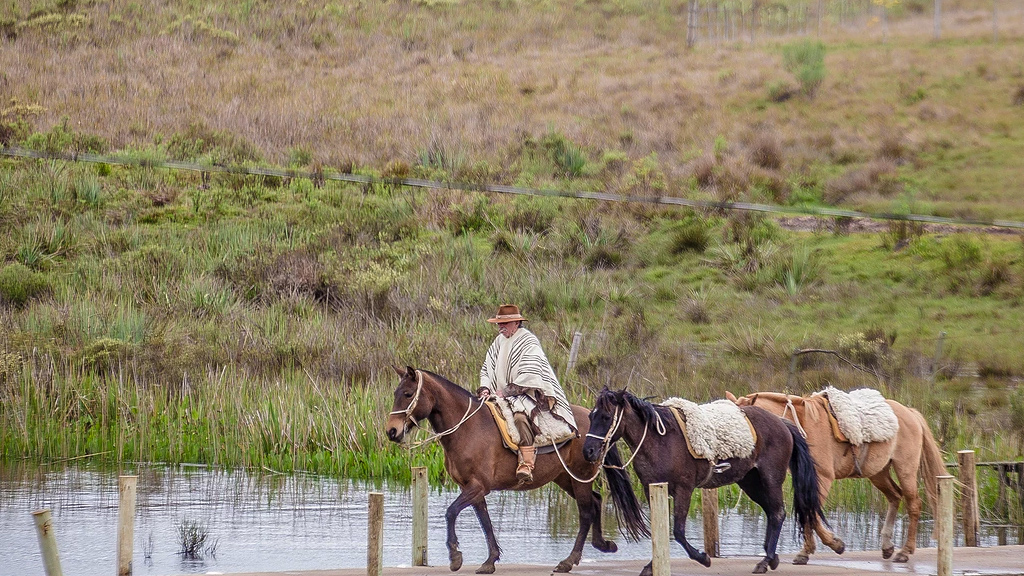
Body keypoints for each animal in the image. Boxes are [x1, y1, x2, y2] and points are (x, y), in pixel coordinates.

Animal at [385, 366, 649, 574]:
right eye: (395, 393)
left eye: (408, 394)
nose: (392, 431)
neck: (467, 428)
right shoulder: (472, 488)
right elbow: (485, 521)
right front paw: (490, 561)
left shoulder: (478, 486)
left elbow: (451, 512)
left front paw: (455, 557)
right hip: (565, 478)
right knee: (595, 502)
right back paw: (602, 544)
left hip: (580, 477)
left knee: (586, 511)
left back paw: (568, 560)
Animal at [582, 387, 824, 575]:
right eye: (590, 417)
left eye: (605, 417)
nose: (588, 451)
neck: (660, 439)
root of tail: (782, 423)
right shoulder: (653, 490)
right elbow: (661, 531)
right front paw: (652, 566)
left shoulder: (684, 489)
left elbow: (678, 531)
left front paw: (703, 558)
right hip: (750, 482)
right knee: (772, 512)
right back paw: (771, 558)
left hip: (771, 478)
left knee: (777, 513)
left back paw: (765, 561)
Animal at [725, 390, 948, 564]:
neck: (802, 424)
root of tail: (910, 413)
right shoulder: (805, 479)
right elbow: (807, 511)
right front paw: (807, 552)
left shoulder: (822, 478)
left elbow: (812, 514)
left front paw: (834, 545)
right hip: (878, 472)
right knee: (895, 496)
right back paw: (887, 547)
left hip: (905, 468)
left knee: (914, 503)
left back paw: (905, 552)